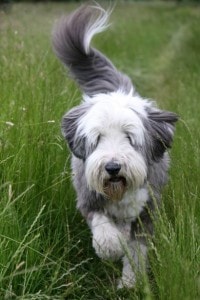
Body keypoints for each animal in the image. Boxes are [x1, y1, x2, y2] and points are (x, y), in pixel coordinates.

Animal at [52, 4, 178, 288]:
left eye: (129, 137)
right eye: (97, 138)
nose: (112, 167)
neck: (120, 191)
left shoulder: (147, 210)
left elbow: (137, 250)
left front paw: (131, 282)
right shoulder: (88, 200)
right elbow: (104, 232)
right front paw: (112, 248)